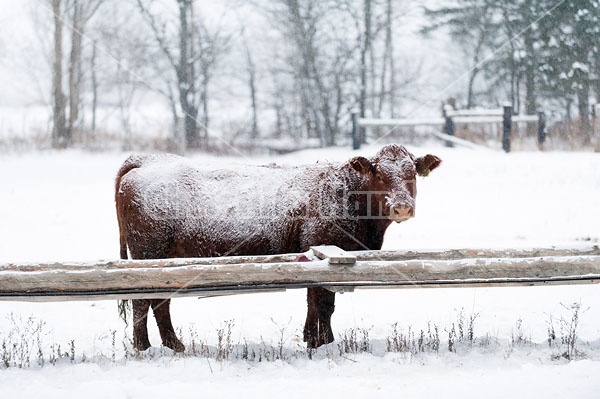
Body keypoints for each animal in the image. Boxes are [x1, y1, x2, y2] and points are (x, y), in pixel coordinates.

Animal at [115, 144, 438, 354]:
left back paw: (174, 345)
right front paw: (325, 343)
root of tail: (147, 161)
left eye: (411, 173)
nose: (402, 206)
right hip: (147, 256)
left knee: (160, 303)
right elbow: (324, 304)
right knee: (143, 302)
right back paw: (144, 348)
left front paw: (311, 339)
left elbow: (313, 304)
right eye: (379, 174)